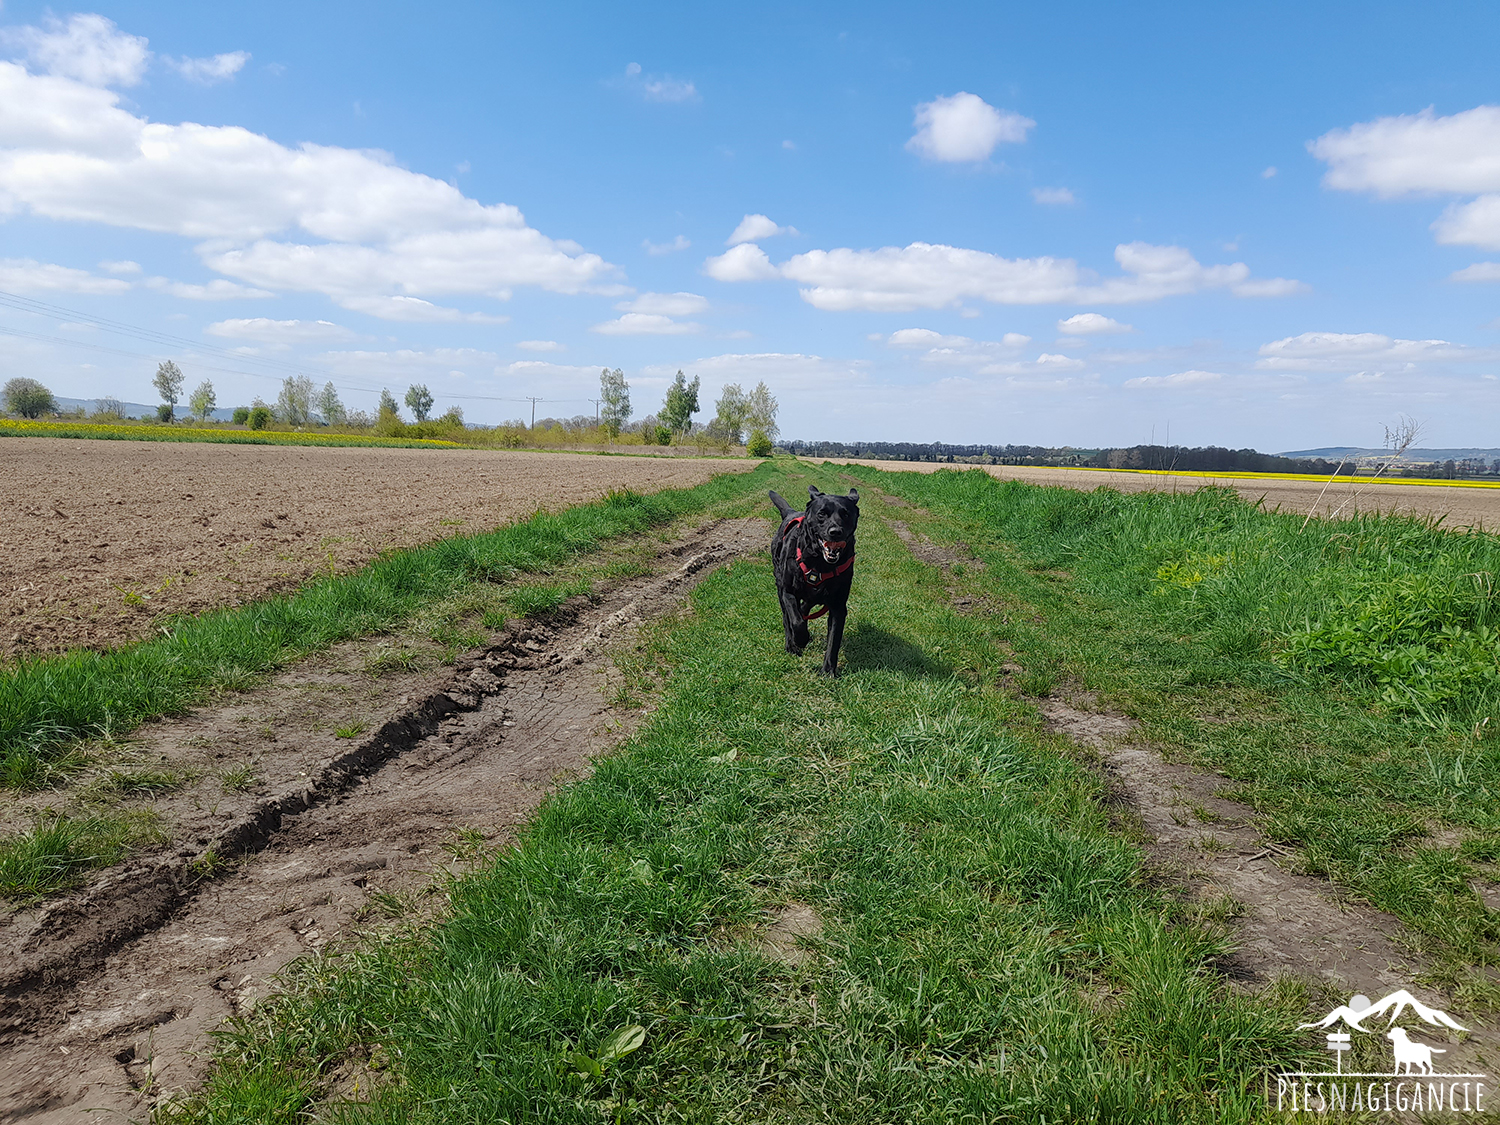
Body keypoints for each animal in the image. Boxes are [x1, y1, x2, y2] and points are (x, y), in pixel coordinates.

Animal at [768, 486, 864, 678]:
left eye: (846, 514)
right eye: (822, 514)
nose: (835, 531)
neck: (820, 563)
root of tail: (790, 512)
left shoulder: (838, 606)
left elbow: (834, 641)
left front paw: (828, 671)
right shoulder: (788, 591)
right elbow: (796, 621)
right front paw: (800, 640)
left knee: (806, 606)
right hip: (780, 586)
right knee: (787, 617)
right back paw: (791, 644)